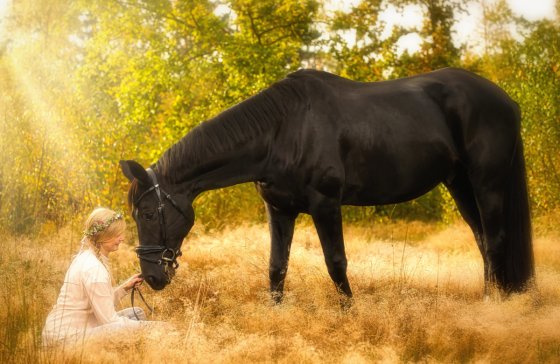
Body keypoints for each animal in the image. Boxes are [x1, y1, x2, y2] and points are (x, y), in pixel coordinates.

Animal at [121, 68, 532, 302]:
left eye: (147, 212)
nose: (152, 277)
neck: (281, 131)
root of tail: (506, 100)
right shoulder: (280, 210)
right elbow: (276, 268)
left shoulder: (325, 205)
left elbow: (336, 263)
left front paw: (351, 314)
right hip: (459, 184)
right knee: (482, 239)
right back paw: (489, 295)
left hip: (488, 183)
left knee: (495, 239)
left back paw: (493, 304)